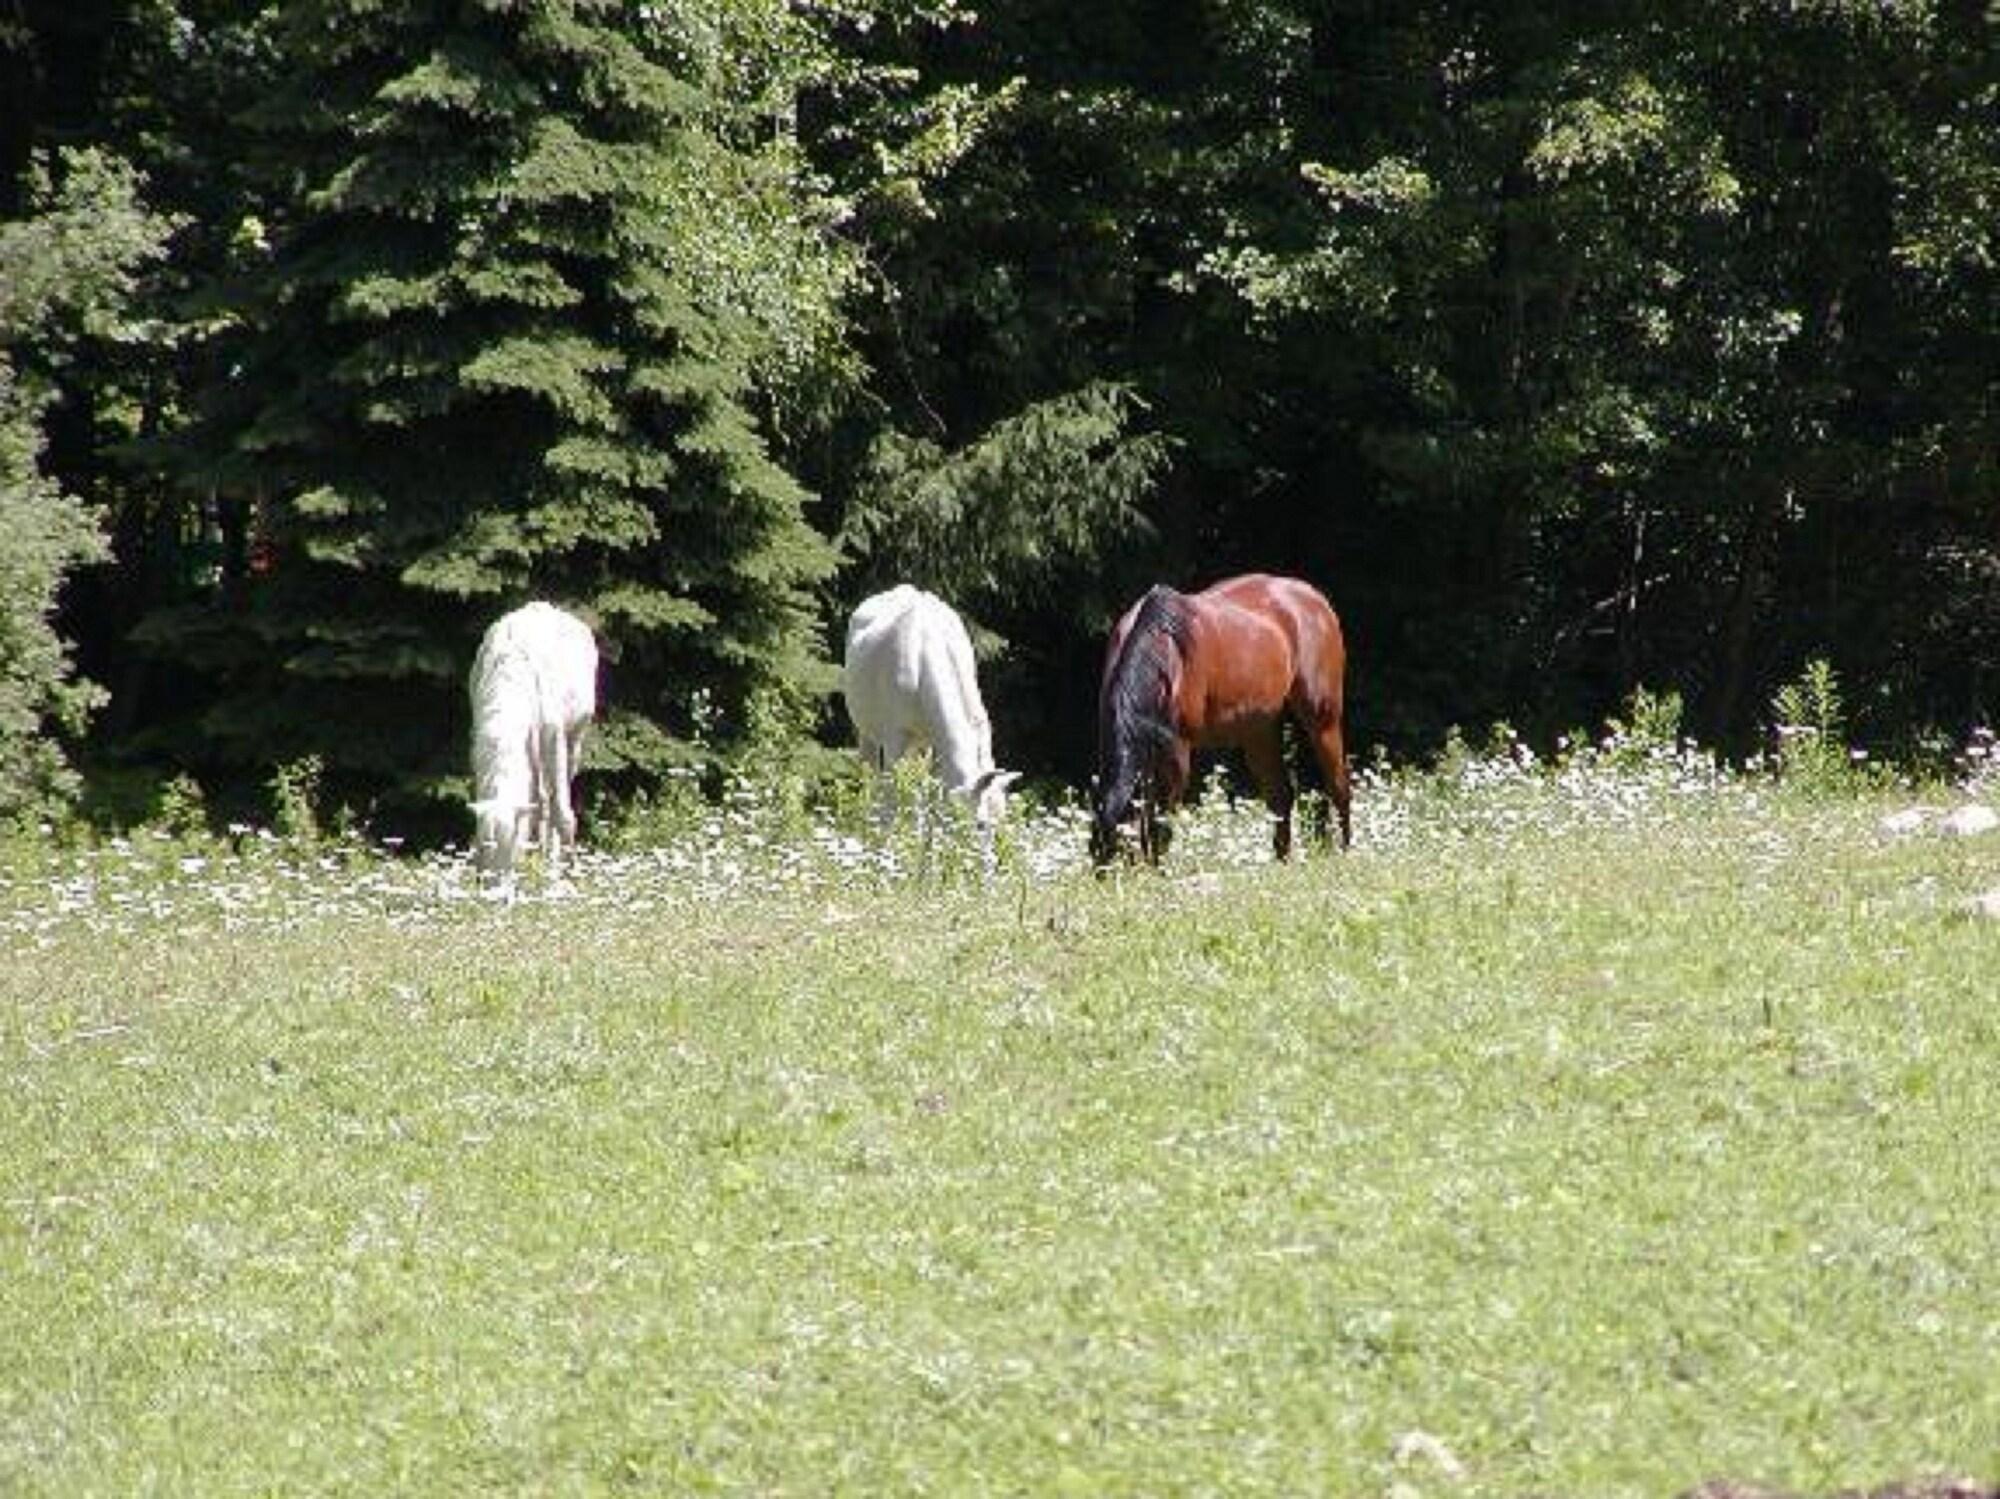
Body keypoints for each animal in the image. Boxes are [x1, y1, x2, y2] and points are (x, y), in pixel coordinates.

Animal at [469, 601, 598, 880]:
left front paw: (565, 875)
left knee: (555, 800)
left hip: (574, 736)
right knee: (540, 802)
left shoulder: (554, 735)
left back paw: (553, 862)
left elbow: (564, 815)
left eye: (511, 851)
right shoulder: (479, 742)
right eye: (484, 850)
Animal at [842, 585, 1020, 830]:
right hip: (866, 731)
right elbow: (892, 795)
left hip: (922, 744)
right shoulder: (894, 737)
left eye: (1002, 819)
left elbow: (934, 794)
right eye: (980, 824)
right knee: (871, 774)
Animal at [1091, 574, 1351, 866]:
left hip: (1323, 719)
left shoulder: (1176, 753)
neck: (1164, 652)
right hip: (1258, 731)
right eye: (1096, 851)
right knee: (1281, 795)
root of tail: (1315, 597)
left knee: (1339, 786)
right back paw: (1282, 861)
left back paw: (1345, 851)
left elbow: (1161, 823)